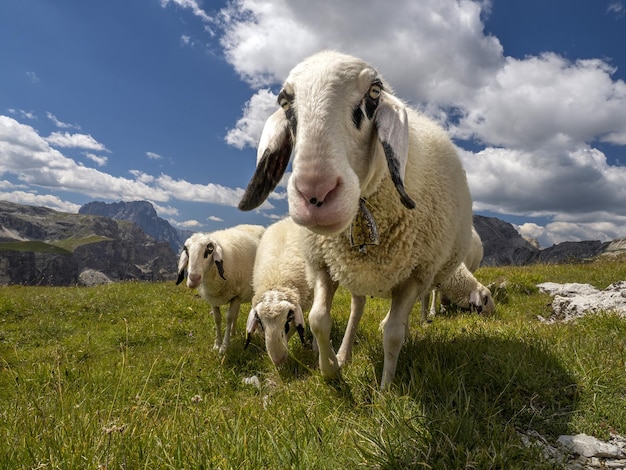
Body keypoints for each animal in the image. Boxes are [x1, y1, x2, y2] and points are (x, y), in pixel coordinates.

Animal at [176, 226, 264, 354]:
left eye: (209, 250)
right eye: (186, 251)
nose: (193, 278)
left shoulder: (236, 296)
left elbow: (228, 318)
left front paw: (224, 347)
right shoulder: (213, 299)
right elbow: (217, 319)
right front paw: (217, 344)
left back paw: (256, 332)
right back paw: (233, 332)